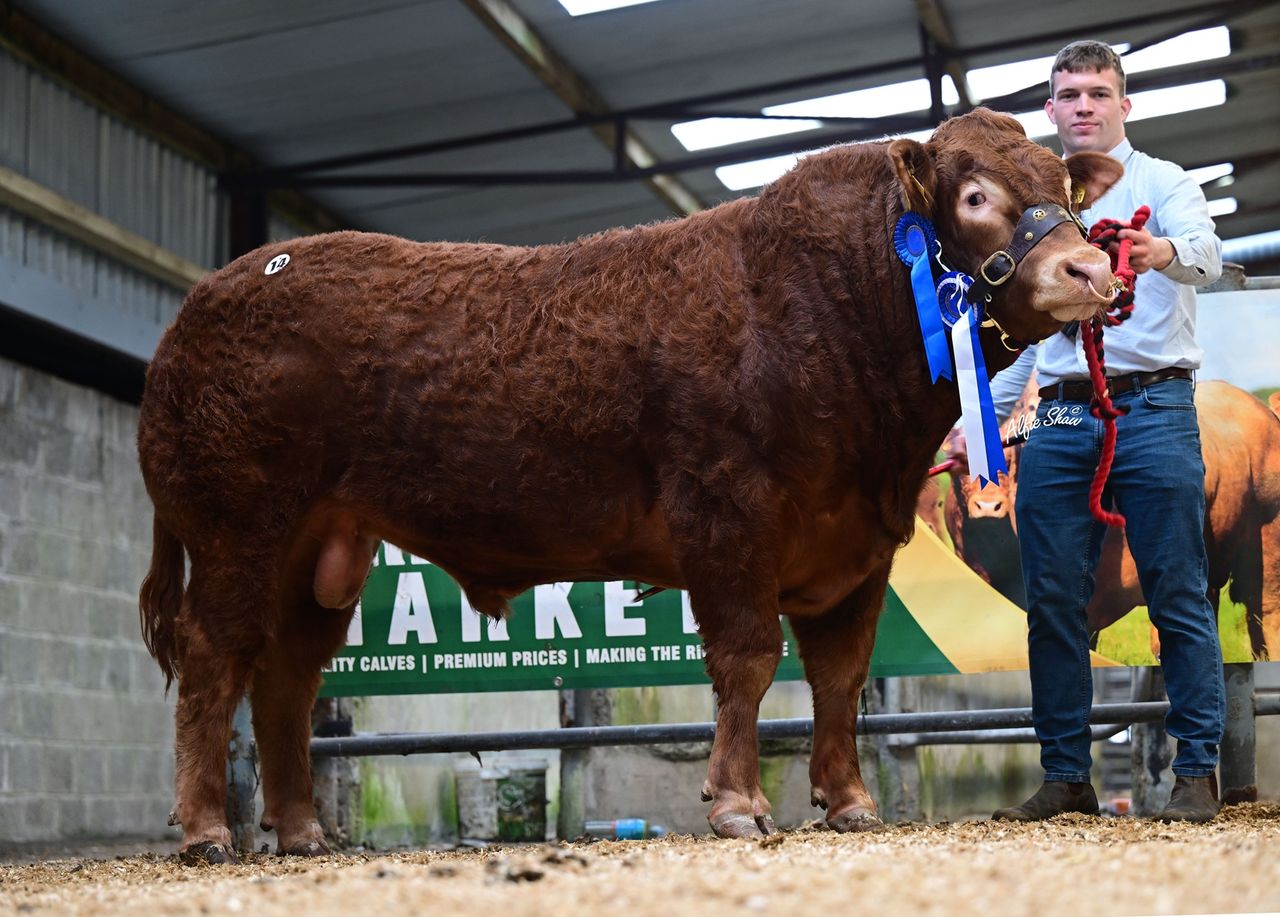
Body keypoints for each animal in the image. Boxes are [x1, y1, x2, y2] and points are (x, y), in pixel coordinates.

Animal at [137, 108, 1121, 864]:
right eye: (975, 196)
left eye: (1070, 196)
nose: (1092, 269)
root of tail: (205, 299)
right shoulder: (727, 513)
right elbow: (748, 658)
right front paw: (738, 804)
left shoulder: (856, 545)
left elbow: (841, 675)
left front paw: (848, 802)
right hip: (236, 528)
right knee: (216, 659)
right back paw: (204, 829)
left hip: (321, 552)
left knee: (288, 679)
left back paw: (302, 830)